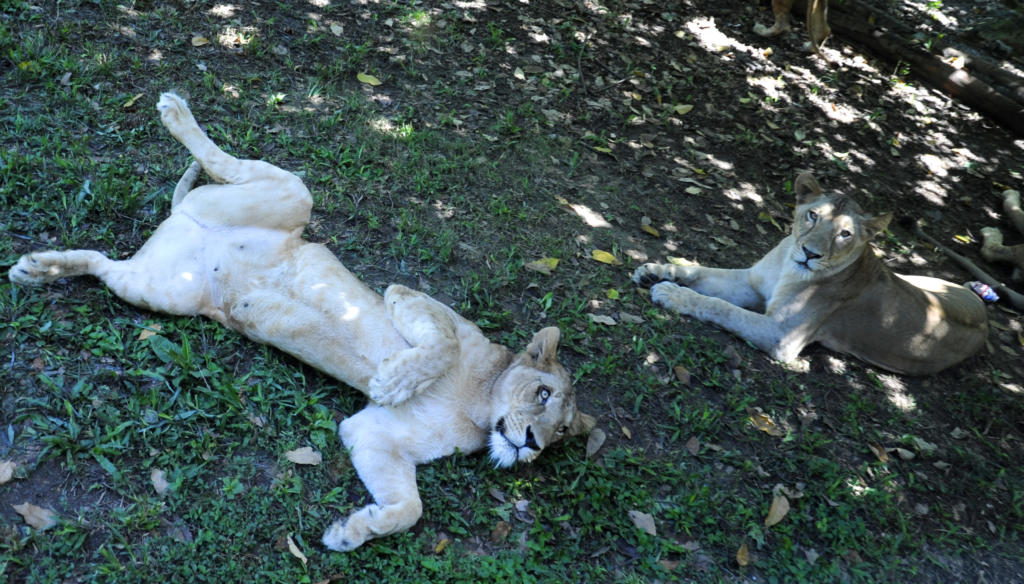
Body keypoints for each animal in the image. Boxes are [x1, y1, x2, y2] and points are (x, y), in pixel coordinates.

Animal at [9, 93, 595, 551]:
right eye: (543, 394)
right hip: (291, 193)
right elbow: (442, 344)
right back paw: (175, 112)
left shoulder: (373, 433)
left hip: (159, 291)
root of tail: (184, 218)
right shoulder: (416, 300)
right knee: (223, 158)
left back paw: (37, 269)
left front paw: (351, 532)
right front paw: (395, 379)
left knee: (102, 264)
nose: (533, 444)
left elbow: (410, 508)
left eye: (564, 431)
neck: (479, 408)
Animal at [632, 173, 988, 376]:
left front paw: (670, 293)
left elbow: (721, 307)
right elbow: (701, 272)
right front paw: (655, 271)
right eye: (813, 215)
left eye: (845, 234)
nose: (811, 253)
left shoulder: (782, 335)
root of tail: (982, 307)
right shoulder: (751, 283)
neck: (788, 266)